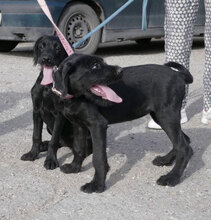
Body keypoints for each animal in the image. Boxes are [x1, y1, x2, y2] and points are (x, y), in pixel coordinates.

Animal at [20, 36, 91, 172]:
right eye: (41, 46)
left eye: (58, 47)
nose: (46, 58)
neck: (47, 86)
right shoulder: (36, 111)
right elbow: (36, 135)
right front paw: (33, 153)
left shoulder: (59, 115)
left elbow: (54, 139)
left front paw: (51, 160)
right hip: (48, 127)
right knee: (60, 142)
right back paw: (43, 145)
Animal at [52, 54, 193, 193]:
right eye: (95, 66)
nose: (120, 70)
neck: (75, 98)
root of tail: (179, 75)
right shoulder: (79, 125)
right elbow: (78, 148)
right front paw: (74, 167)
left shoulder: (98, 125)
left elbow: (98, 158)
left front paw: (97, 185)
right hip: (161, 116)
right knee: (184, 140)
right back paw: (166, 160)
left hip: (166, 116)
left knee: (184, 147)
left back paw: (172, 177)